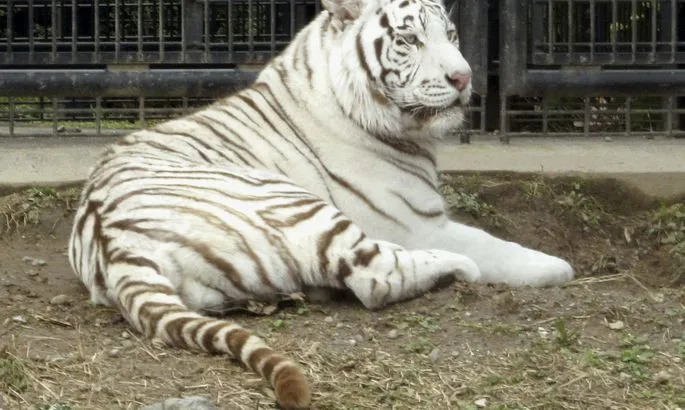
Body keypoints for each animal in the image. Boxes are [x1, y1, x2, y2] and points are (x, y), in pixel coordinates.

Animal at [68, 0, 574, 407]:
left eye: (450, 35)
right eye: (409, 39)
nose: (464, 77)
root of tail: (113, 243)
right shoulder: (419, 223)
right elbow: (495, 246)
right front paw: (557, 266)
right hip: (297, 204)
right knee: (376, 277)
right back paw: (454, 267)